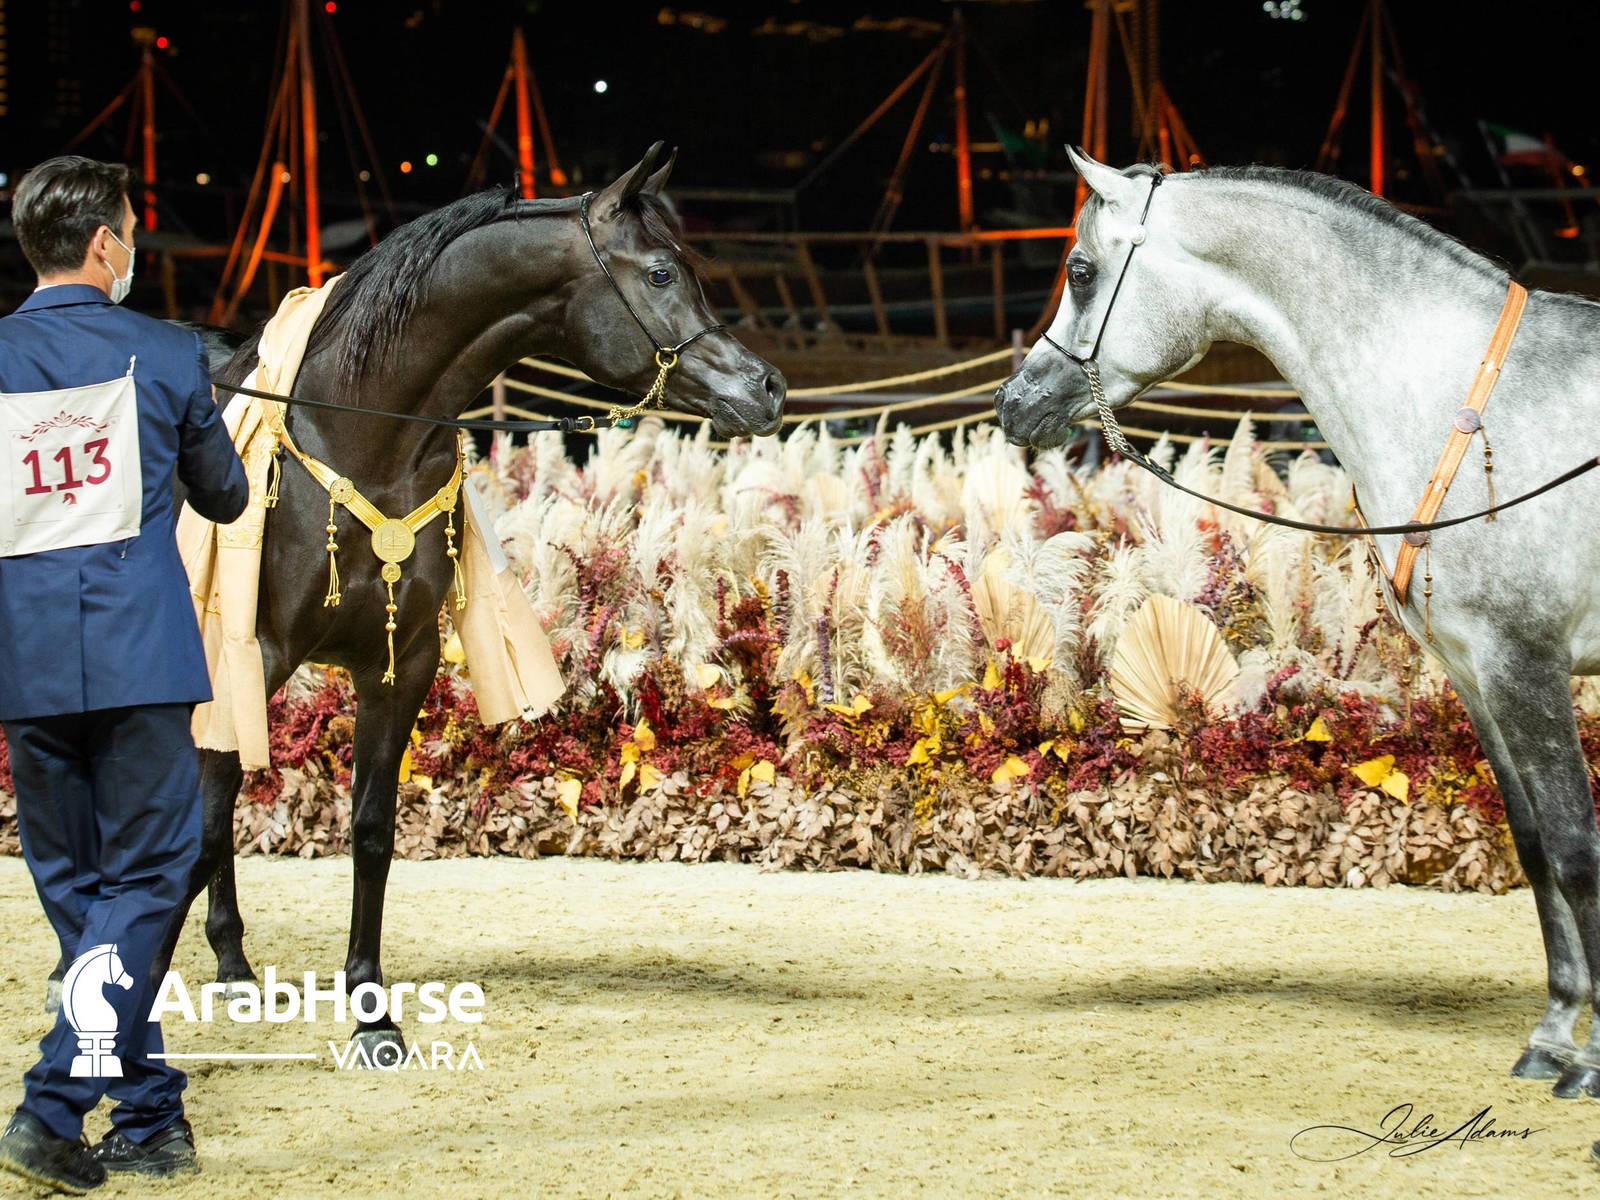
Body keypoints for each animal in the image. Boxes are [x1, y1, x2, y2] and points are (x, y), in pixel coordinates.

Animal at [57, 142, 784, 1063]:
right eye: (660, 271)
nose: (768, 387)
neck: (364, 435)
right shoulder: (249, 653)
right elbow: (201, 826)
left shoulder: (396, 665)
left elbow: (369, 829)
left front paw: (371, 1009)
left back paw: (230, 962)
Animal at [994, 148, 1600, 1100]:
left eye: (1082, 271)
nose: (1013, 404)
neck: (1462, 404)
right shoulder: (1477, 675)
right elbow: (1538, 847)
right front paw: (1553, 1035)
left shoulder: (1526, 664)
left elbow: (1577, 848)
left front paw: (1591, 1058)